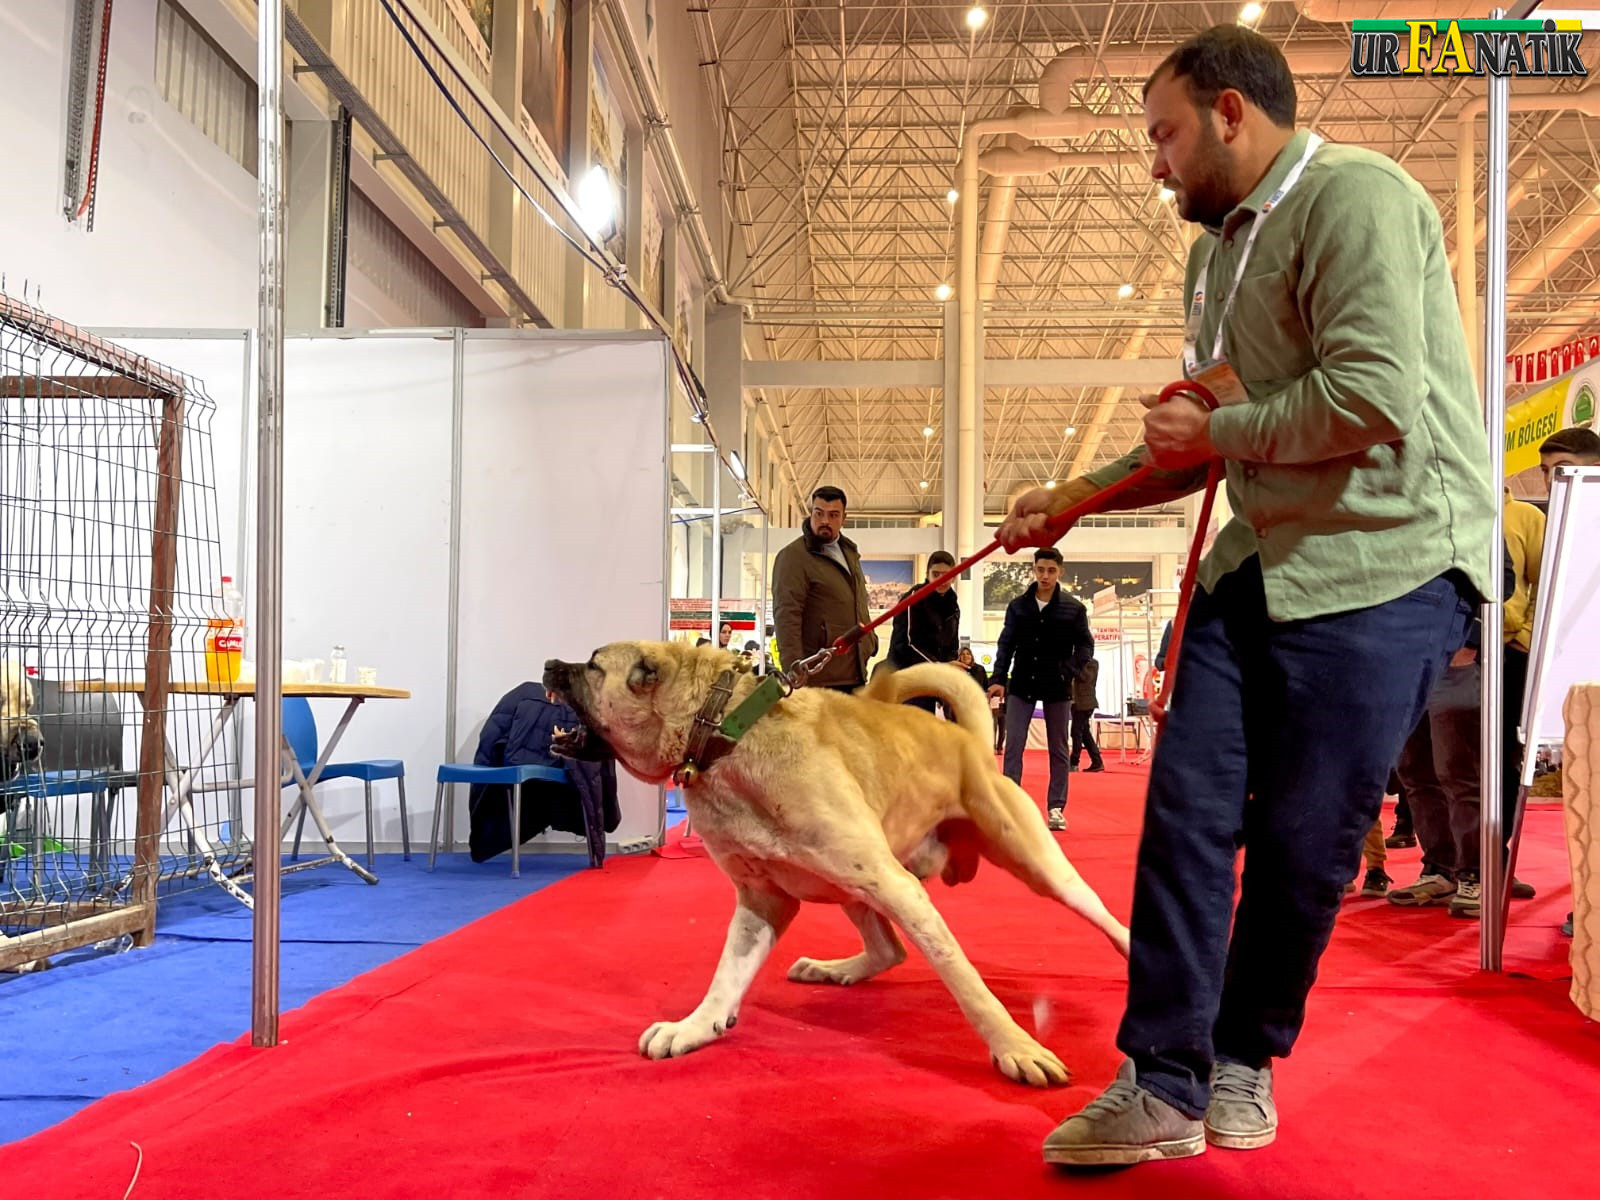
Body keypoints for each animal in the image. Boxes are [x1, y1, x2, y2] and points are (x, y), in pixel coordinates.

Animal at [544, 649, 1132, 1088]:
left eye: (593, 665)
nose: (550, 663)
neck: (725, 732)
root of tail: (967, 740)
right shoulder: (762, 900)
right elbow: (725, 978)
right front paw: (695, 1028)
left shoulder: (899, 889)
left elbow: (967, 983)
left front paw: (1015, 1046)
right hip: (851, 886)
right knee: (888, 949)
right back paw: (836, 969)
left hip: (1035, 868)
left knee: (1100, 914)